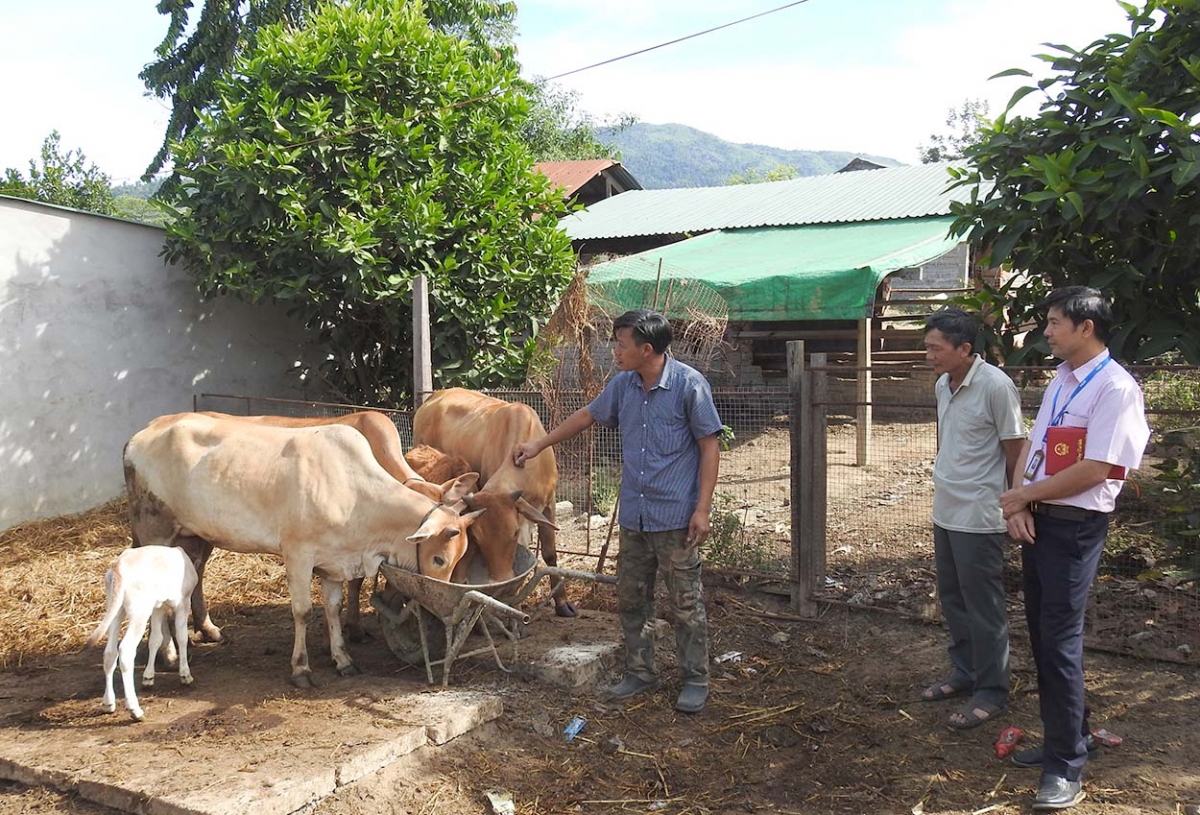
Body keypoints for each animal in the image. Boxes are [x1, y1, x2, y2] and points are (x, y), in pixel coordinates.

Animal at [87, 547, 198, 720]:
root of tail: (118, 567)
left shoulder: (158, 607)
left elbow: (155, 639)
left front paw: (148, 678)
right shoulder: (183, 602)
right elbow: (182, 637)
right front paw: (185, 675)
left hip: (115, 608)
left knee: (110, 652)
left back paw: (108, 704)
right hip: (139, 611)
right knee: (125, 651)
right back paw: (135, 710)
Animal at [124, 415, 484, 686]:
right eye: (438, 558)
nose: (442, 607)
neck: (355, 495)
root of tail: (138, 437)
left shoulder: (334, 561)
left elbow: (334, 608)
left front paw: (342, 658)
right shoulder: (297, 554)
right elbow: (303, 612)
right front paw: (301, 668)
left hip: (192, 535)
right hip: (155, 532)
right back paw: (168, 655)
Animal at [412, 391, 571, 614]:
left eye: (514, 532)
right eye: (477, 538)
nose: (499, 580)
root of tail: (434, 396)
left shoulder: (549, 503)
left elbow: (549, 553)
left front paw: (562, 604)